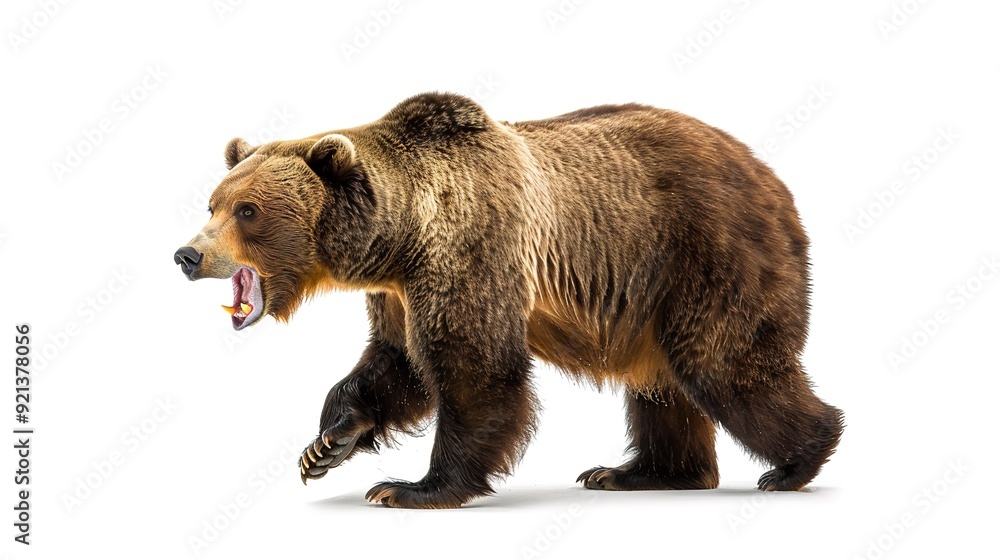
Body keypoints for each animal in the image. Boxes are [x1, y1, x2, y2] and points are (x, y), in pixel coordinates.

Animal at [174, 92, 844, 509]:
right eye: (213, 202)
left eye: (248, 211)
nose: (187, 254)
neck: (400, 236)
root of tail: (768, 173)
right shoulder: (398, 292)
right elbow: (394, 363)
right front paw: (326, 444)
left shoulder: (470, 252)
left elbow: (475, 369)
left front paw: (411, 487)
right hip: (652, 295)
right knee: (660, 385)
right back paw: (634, 473)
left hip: (706, 250)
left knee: (725, 365)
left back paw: (796, 462)